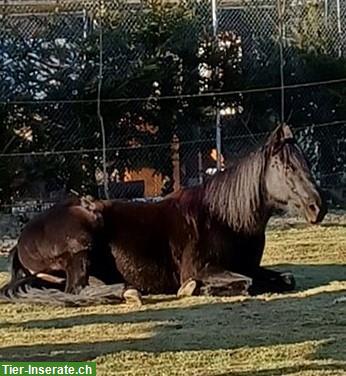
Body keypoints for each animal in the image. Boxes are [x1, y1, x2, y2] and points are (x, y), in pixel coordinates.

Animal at [0, 123, 328, 306]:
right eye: (288, 166)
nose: (318, 207)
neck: (225, 218)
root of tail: (23, 239)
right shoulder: (203, 268)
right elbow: (243, 283)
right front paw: (192, 289)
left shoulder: (252, 267)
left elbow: (285, 279)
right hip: (81, 247)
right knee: (77, 289)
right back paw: (128, 293)